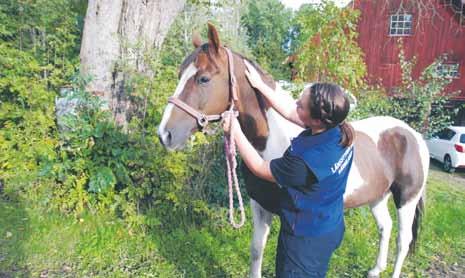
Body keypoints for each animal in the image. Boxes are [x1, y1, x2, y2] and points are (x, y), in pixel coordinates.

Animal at [157, 23, 428, 278]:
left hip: (407, 199)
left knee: (403, 240)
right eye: (180, 74)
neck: (271, 141)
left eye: (203, 78)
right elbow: (256, 250)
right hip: (377, 196)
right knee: (385, 227)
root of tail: (412, 135)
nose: (165, 134)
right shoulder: (259, 206)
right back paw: (375, 269)